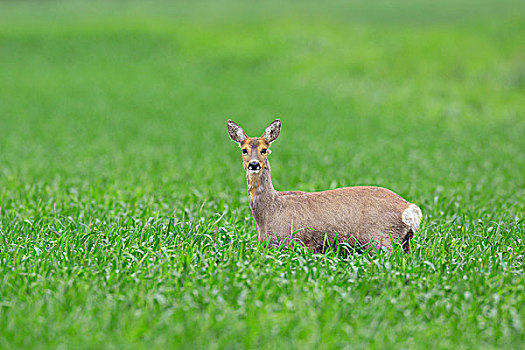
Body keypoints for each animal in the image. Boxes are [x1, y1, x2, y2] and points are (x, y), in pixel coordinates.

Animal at [226, 119, 422, 253]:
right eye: (244, 150)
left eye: (264, 150)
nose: (253, 164)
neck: (270, 211)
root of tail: (411, 210)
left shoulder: (292, 242)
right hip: (403, 242)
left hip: (380, 238)